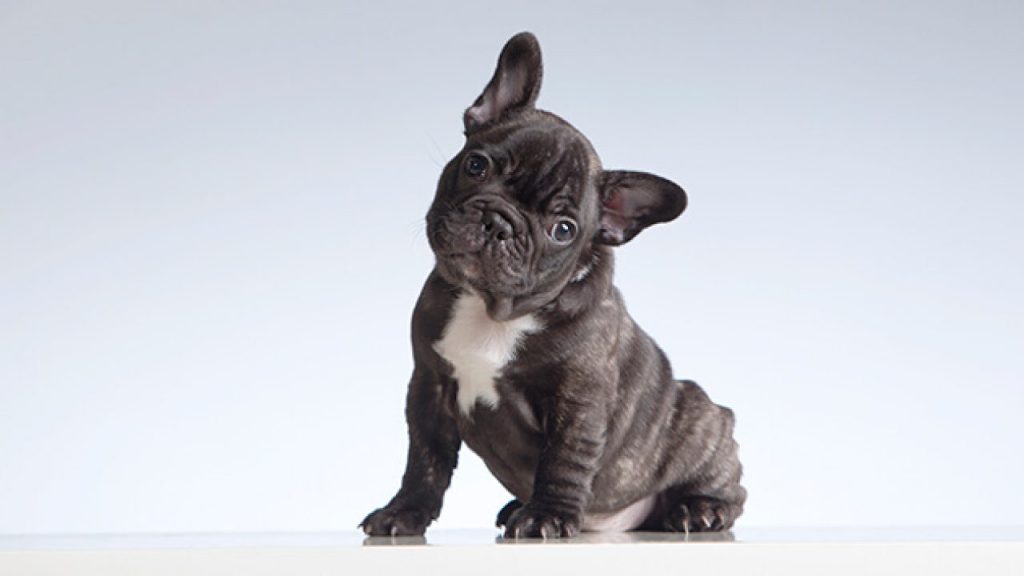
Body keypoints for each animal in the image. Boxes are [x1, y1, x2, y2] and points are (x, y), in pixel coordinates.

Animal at [360, 32, 745, 538]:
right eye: (476, 165)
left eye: (563, 229)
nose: (498, 222)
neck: (492, 310)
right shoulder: (429, 386)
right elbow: (424, 460)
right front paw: (404, 511)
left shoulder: (577, 402)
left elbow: (564, 460)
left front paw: (548, 515)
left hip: (700, 417)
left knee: (727, 486)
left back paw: (699, 510)